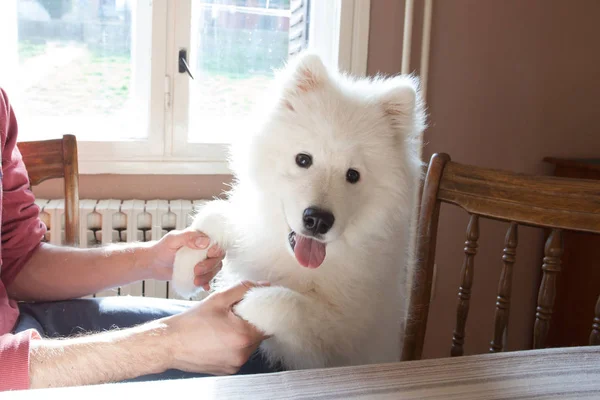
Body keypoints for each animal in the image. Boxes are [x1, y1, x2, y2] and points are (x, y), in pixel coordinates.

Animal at [171, 51, 426, 370]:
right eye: (303, 159)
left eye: (353, 175)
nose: (318, 220)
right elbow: (216, 214)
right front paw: (187, 266)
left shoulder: (339, 339)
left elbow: (290, 304)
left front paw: (248, 303)